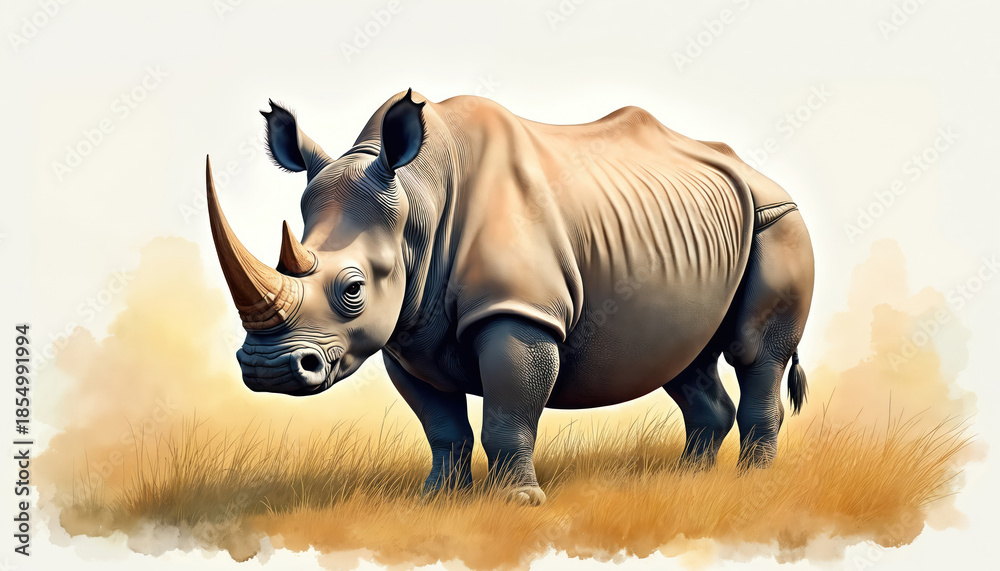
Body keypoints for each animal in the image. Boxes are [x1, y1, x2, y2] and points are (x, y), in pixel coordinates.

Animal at [205, 89, 814, 505]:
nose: (266, 370)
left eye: (352, 288)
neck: (418, 200)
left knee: (753, 353)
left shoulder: (520, 311)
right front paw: (436, 499)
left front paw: (517, 502)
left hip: (778, 220)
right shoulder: (407, 331)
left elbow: (507, 413)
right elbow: (441, 425)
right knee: (684, 359)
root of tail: (760, 175)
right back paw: (685, 479)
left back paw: (752, 482)